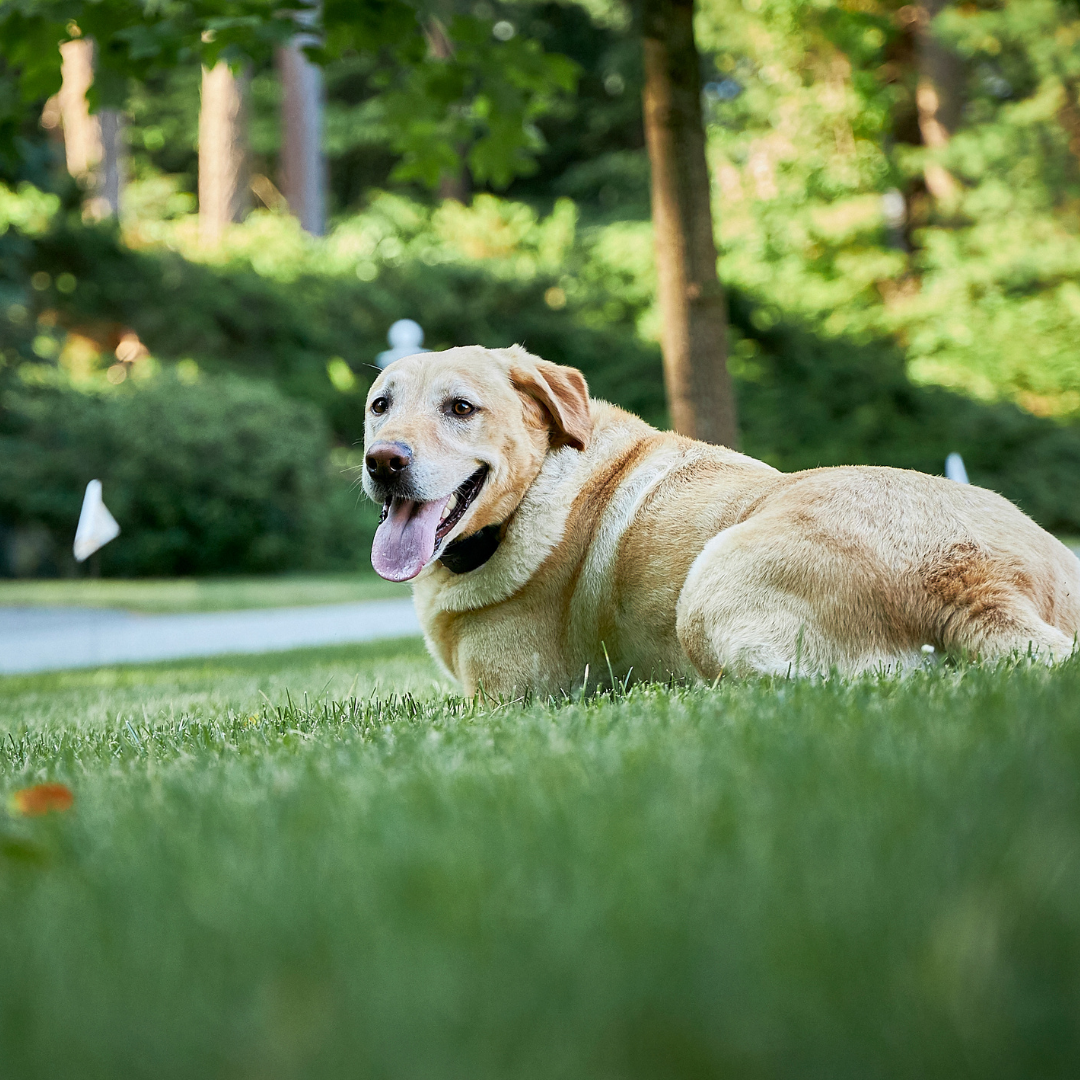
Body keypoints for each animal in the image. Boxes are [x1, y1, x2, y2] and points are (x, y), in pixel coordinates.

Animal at [365, 349, 1080, 695]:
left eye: (461, 408)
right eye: (379, 406)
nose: (382, 461)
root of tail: (969, 580)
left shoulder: (502, 697)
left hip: (707, 588)